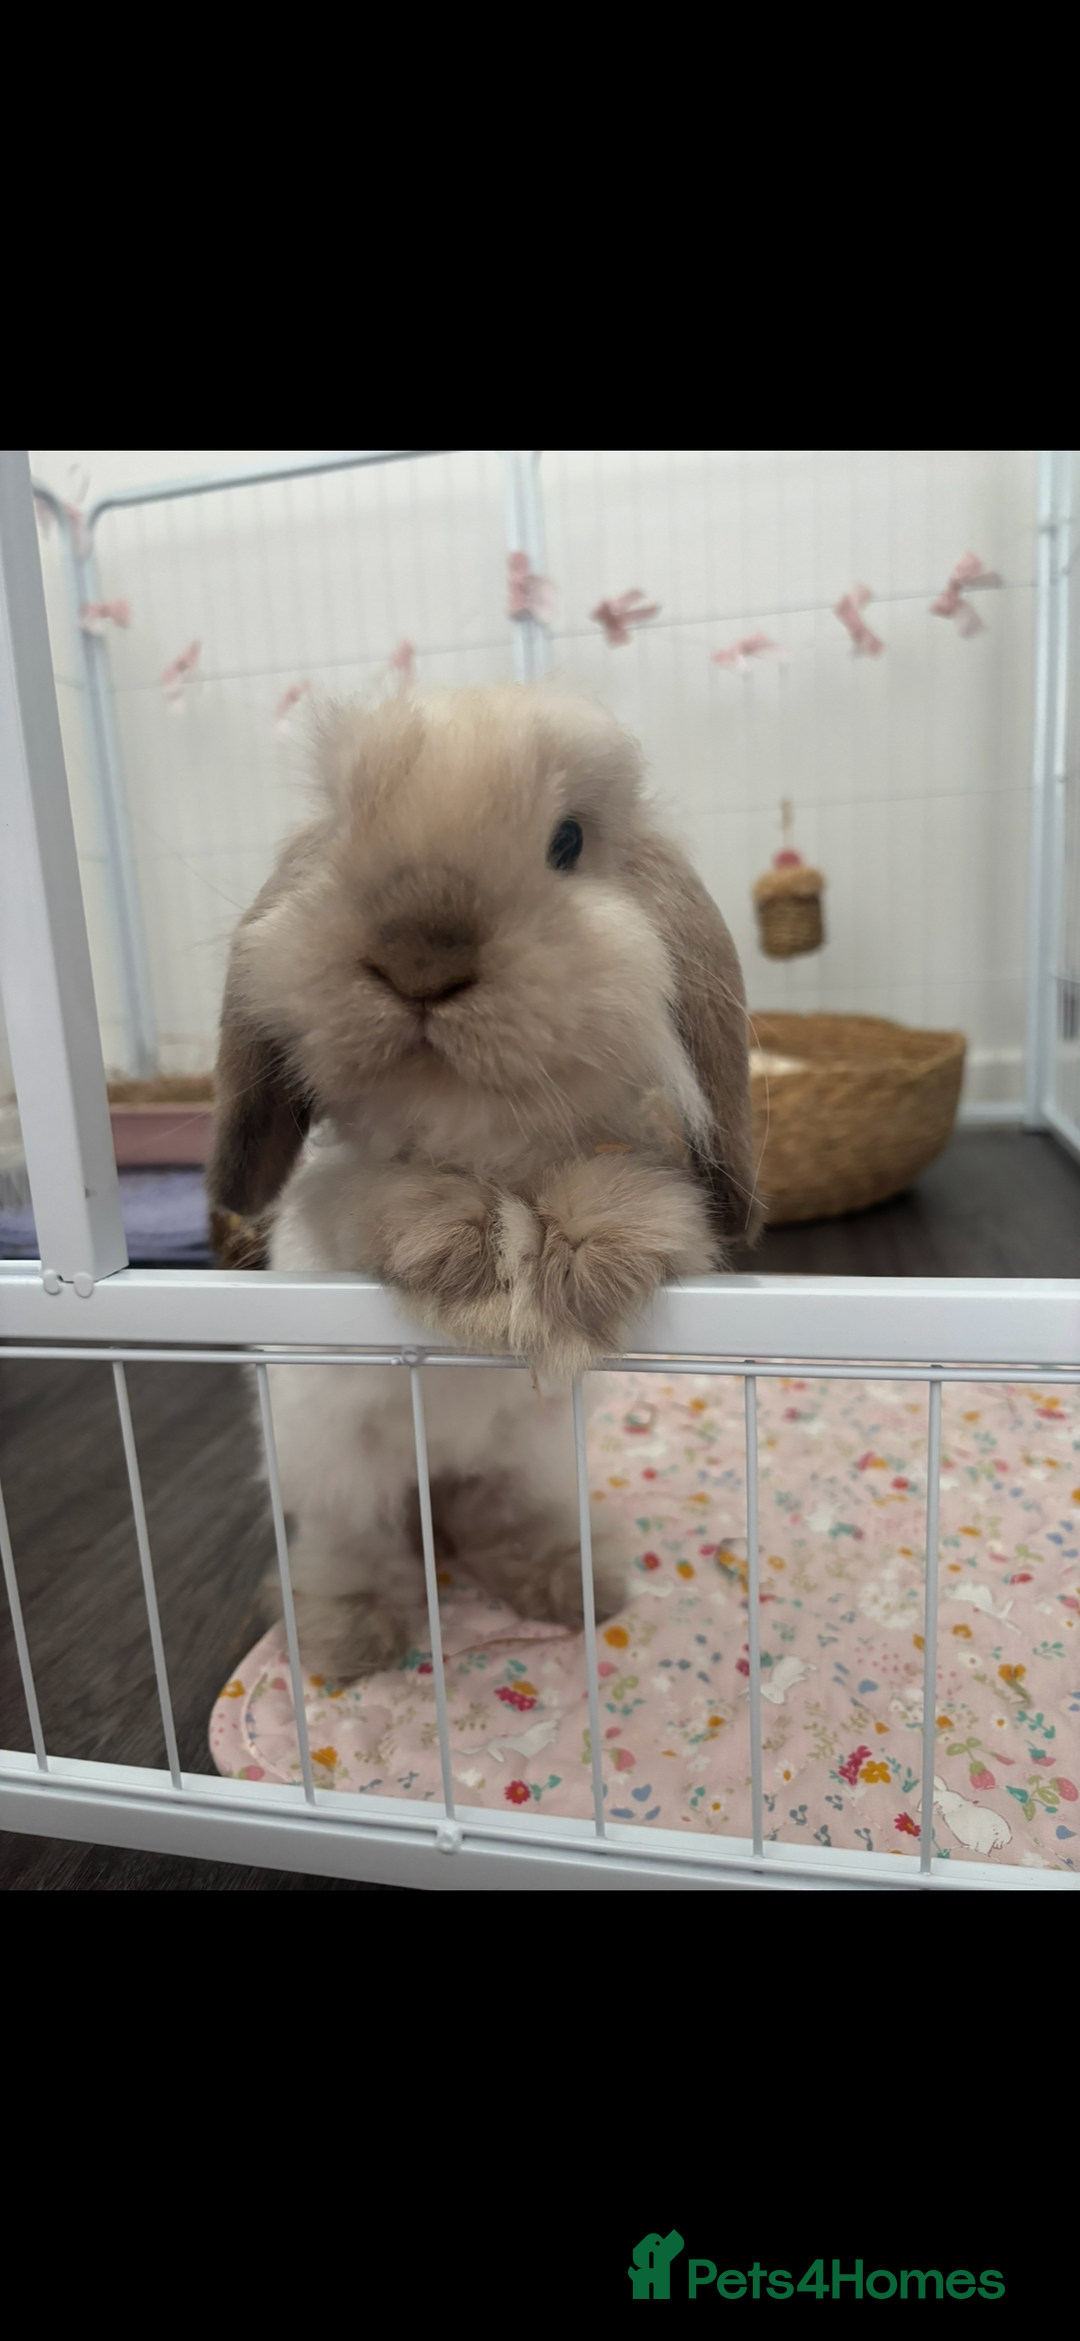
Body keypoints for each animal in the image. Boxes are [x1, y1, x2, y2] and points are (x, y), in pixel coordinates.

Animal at [206, 684, 760, 1680]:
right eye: (343, 827)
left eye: (568, 841)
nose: (420, 955)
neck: (477, 1135)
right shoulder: (340, 1197)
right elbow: (383, 1194)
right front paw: (474, 1264)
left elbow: (618, 1186)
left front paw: (588, 1270)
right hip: (330, 1461)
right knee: (354, 1542)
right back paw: (352, 1637)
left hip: (525, 1452)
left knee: (495, 1516)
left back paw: (573, 1584)